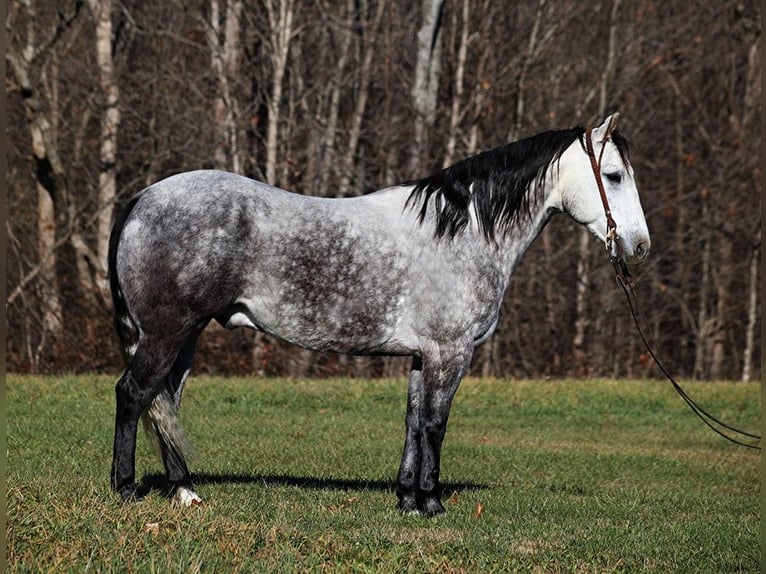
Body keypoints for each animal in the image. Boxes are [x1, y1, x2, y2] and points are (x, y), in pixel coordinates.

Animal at [106, 112, 648, 516]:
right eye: (614, 176)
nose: (639, 246)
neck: (461, 231)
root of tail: (141, 199)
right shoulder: (450, 352)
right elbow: (435, 423)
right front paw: (432, 503)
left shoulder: (423, 355)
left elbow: (412, 420)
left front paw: (407, 499)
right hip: (166, 333)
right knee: (133, 394)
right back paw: (127, 489)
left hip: (185, 337)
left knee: (166, 402)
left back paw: (184, 490)